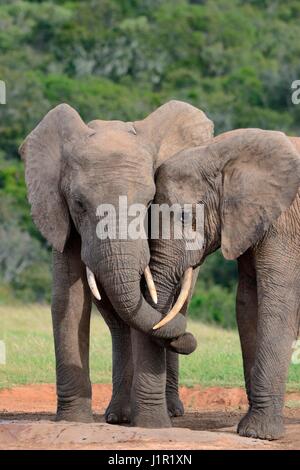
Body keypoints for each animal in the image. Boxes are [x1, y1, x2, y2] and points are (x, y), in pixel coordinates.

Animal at [19, 101, 213, 428]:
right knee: (117, 322)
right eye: (79, 204)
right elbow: (69, 300)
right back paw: (119, 416)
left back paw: (171, 410)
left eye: (149, 202)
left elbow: (150, 299)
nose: (188, 338)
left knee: (176, 303)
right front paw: (73, 422)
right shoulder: (61, 219)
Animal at [148, 129, 300, 440]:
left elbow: (277, 303)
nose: (187, 337)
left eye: (185, 216)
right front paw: (250, 429)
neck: (222, 153)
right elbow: (247, 303)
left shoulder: (284, 224)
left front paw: (258, 434)